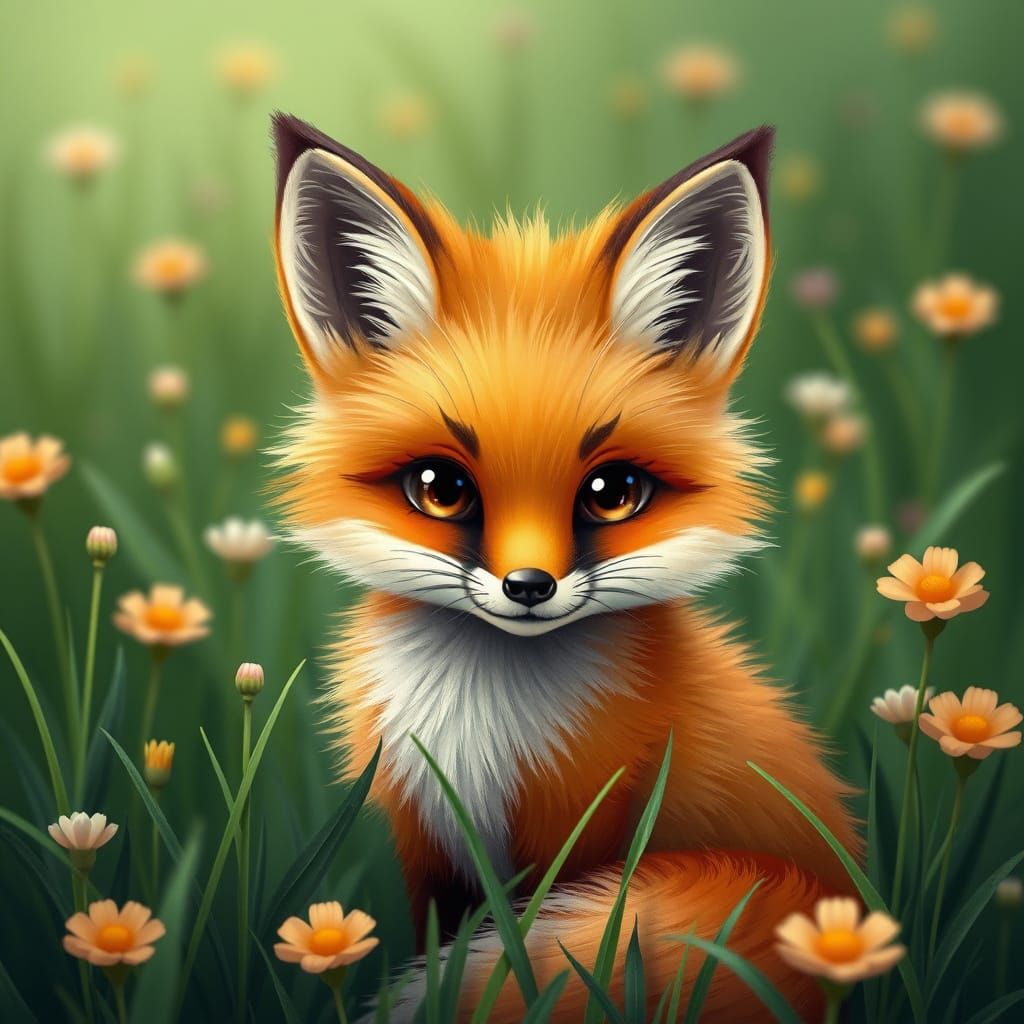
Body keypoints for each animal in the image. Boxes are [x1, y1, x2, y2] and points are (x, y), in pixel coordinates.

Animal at [270, 112, 861, 1021]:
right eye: (439, 488)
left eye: (612, 493)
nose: (528, 588)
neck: (482, 727)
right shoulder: (425, 833)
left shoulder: (586, 823)